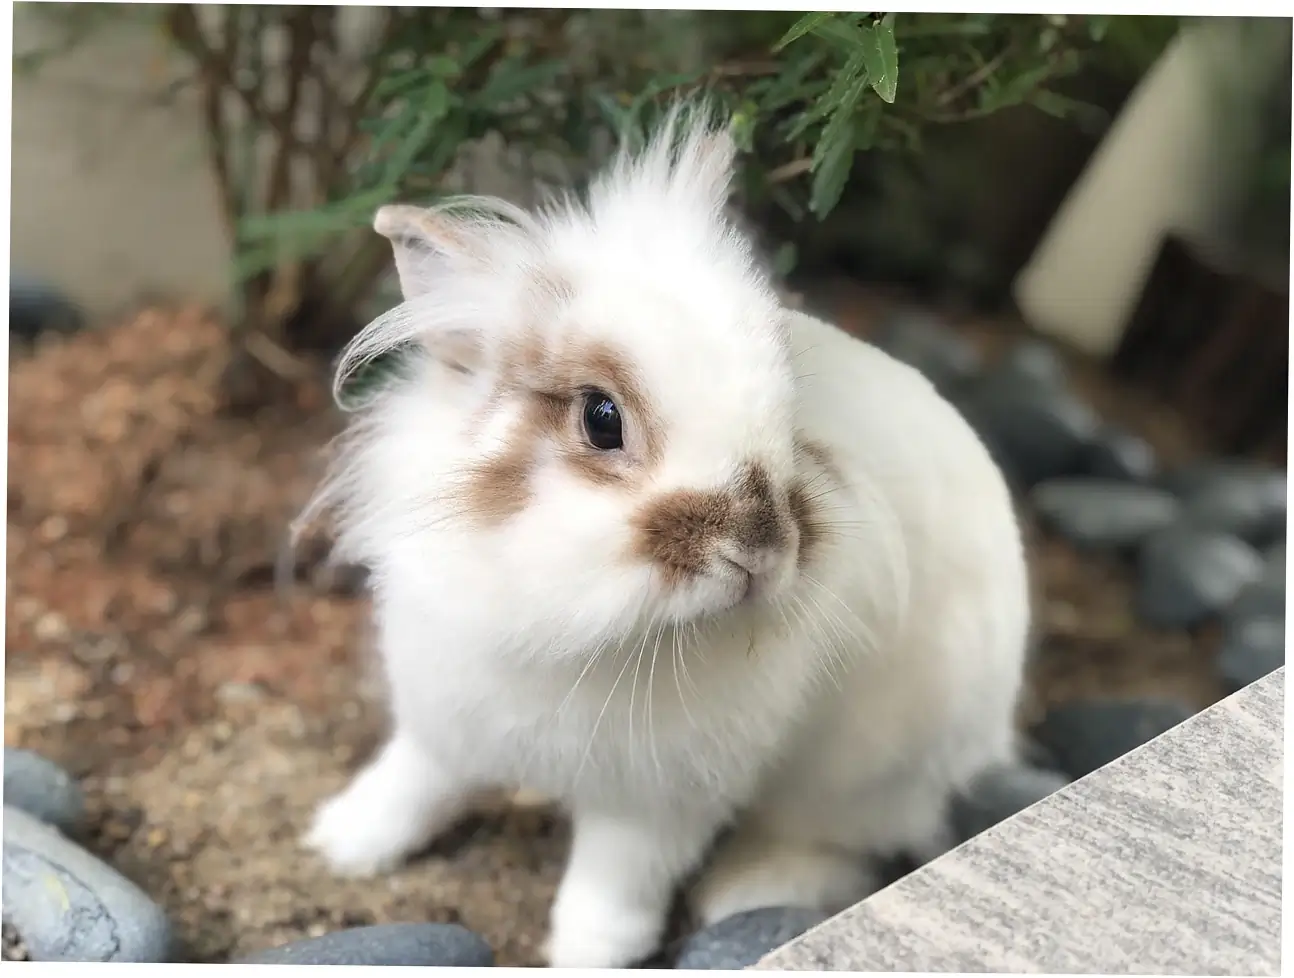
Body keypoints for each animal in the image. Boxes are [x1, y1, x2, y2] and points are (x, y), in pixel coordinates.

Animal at [299, 102, 1030, 969]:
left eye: (790, 418)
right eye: (600, 418)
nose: (760, 553)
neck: (589, 637)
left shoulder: (658, 804)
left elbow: (612, 885)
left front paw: (585, 954)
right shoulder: (445, 721)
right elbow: (412, 783)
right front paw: (340, 844)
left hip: (864, 770)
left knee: (832, 840)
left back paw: (751, 888)